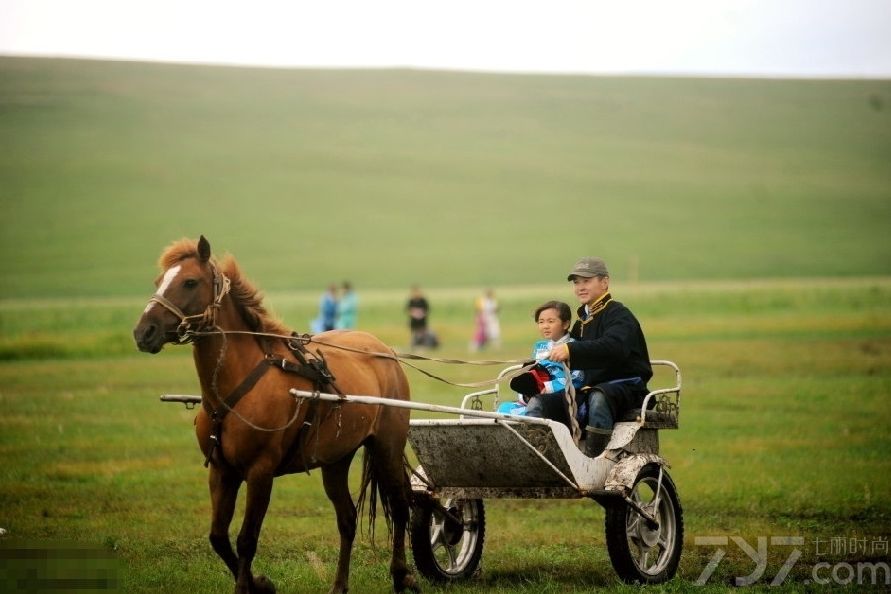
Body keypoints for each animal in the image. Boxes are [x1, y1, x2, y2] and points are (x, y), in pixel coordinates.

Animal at [133, 236, 422, 592]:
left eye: (189, 282)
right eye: (159, 281)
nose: (144, 332)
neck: (237, 385)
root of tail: (383, 350)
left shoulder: (261, 471)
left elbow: (246, 539)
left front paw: (248, 585)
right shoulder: (221, 470)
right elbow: (218, 537)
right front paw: (259, 582)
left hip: (387, 446)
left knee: (400, 506)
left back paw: (402, 574)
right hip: (335, 459)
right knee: (347, 519)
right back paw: (340, 584)